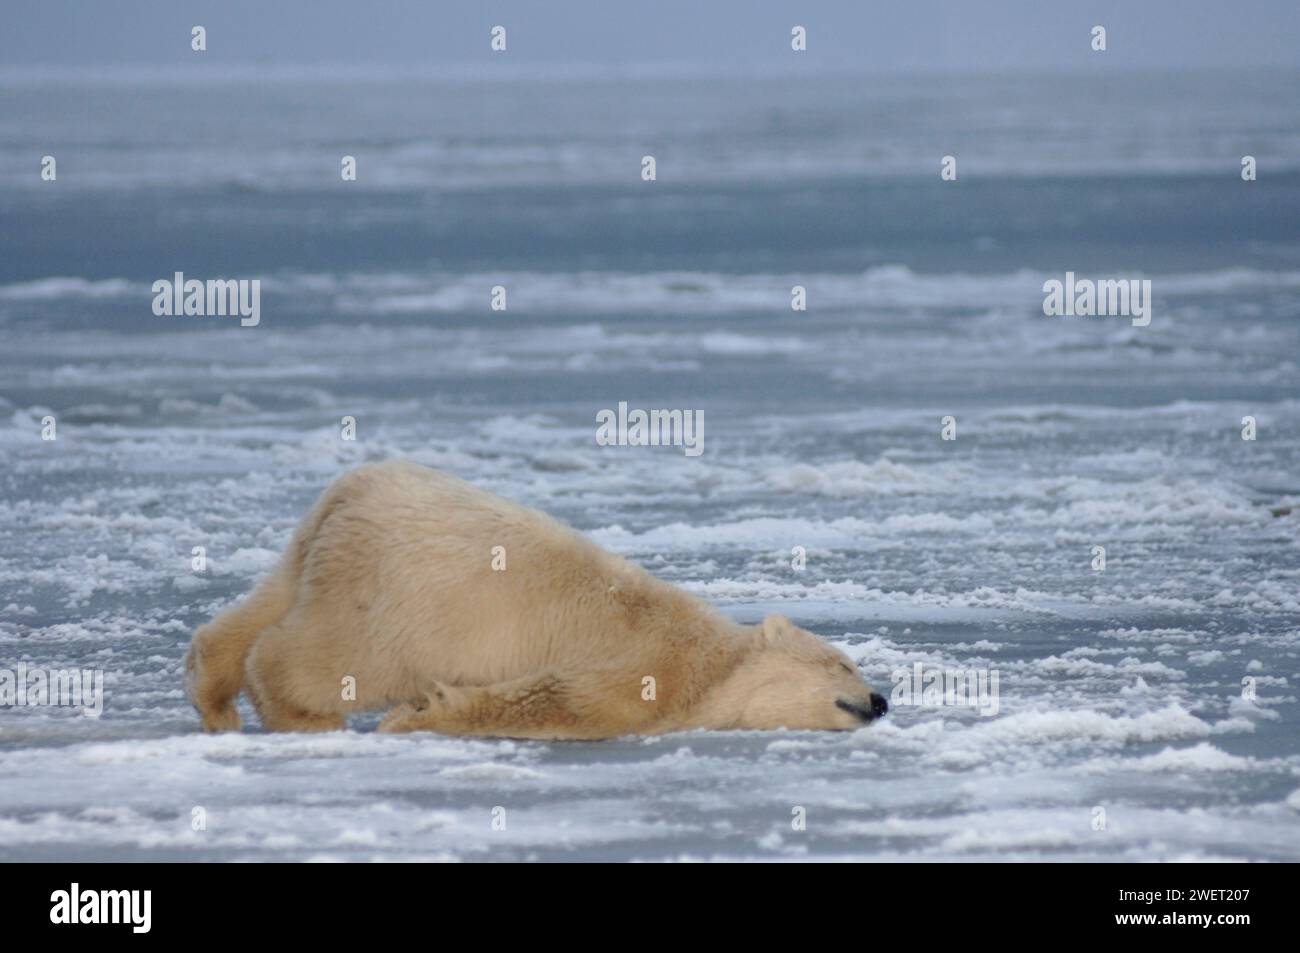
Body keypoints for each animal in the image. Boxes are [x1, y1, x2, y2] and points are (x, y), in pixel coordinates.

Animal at [188, 460, 889, 738]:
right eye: (844, 662)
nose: (882, 699)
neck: (710, 659)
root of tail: (350, 491)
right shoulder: (648, 668)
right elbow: (562, 701)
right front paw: (414, 717)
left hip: (316, 552)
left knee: (263, 607)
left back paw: (215, 701)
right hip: (399, 596)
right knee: (329, 656)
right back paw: (304, 717)